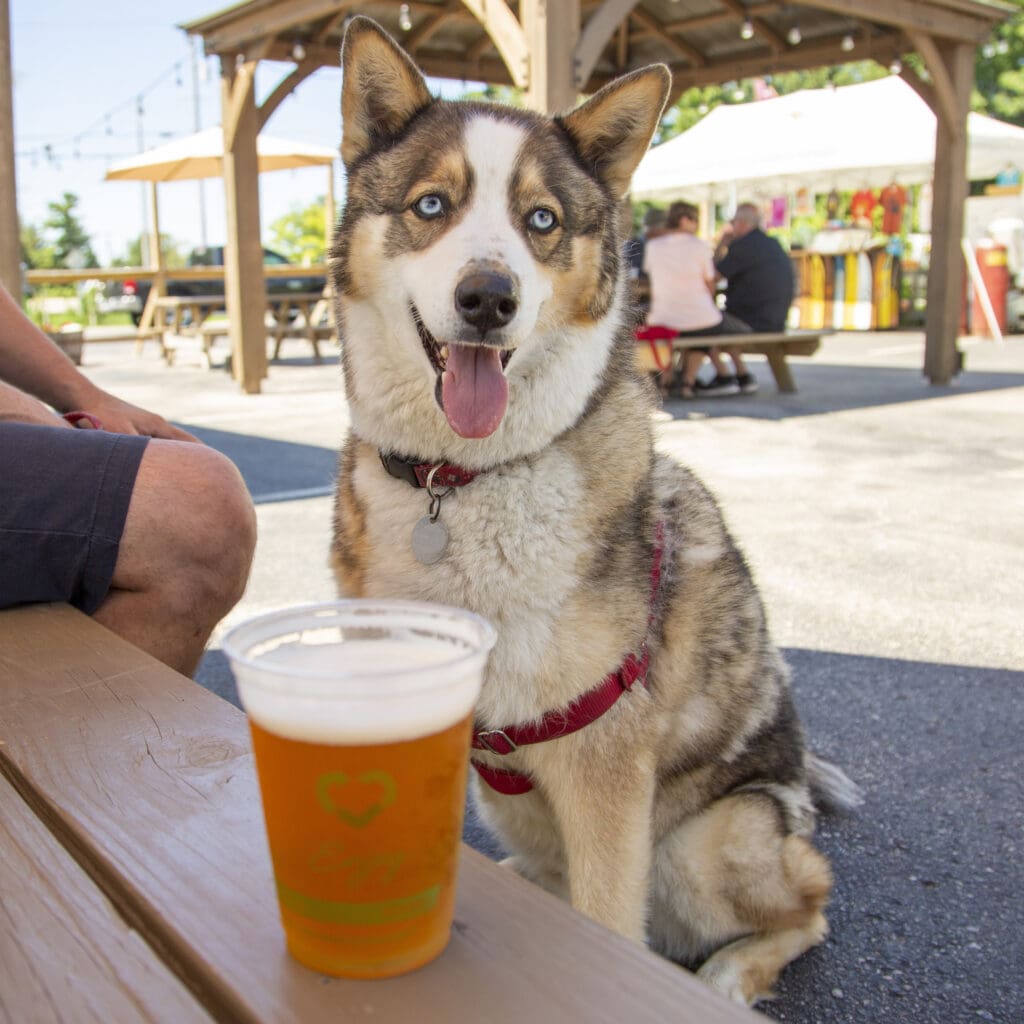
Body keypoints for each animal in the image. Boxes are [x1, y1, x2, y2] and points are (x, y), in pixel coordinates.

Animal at [329, 18, 856, 1007]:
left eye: (541, 221)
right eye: (430, 205)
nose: (487, 298)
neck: (464, 483)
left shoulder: (603, 767)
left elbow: (608, 928)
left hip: (705, 845)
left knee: (811, 905)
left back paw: (728, 976)